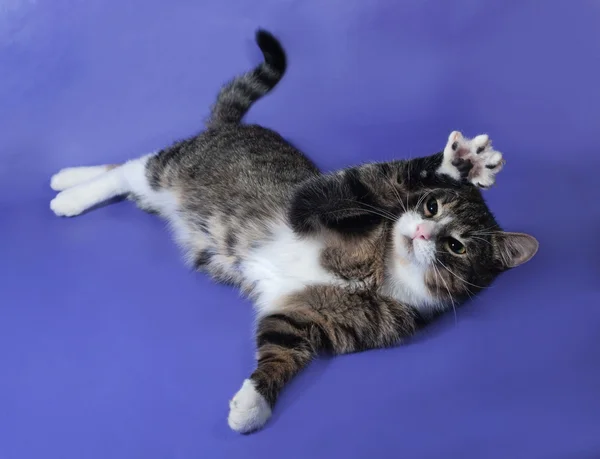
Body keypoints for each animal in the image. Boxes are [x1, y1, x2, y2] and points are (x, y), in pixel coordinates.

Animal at [50, 29, 540, 434]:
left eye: (455, 246)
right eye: (430, 205)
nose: (421, 231)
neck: (383, 271)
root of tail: (228, 127)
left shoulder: (308, 319)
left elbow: (282, 346)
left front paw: (252, 405)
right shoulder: (317, 203)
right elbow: (369, 181)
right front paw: (459, 164)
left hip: (162, 192)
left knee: (129, 179)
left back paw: (69, 184)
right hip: (172, 169)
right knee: (129, 168)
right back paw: (69, 189)